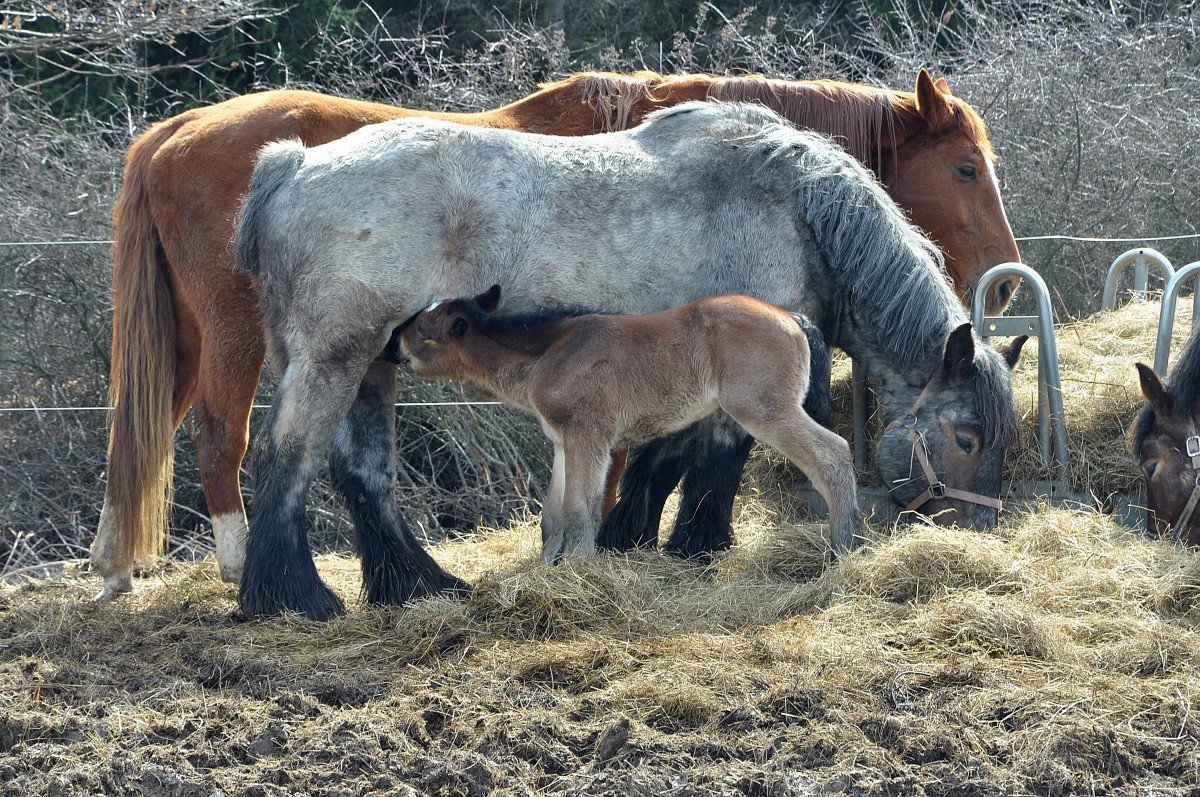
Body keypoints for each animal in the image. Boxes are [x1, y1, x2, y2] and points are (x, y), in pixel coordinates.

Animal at [396, 287, 860, 562]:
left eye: (423, 331)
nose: (392, 345)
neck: (551, 351)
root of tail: (792, 318)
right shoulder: (563, 442)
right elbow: (552, 517)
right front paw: (546, 572)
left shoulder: (589, 437)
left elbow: (580, 513)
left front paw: (578, 573)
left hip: (766, 409)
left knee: (833, 455)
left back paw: (845, 546)